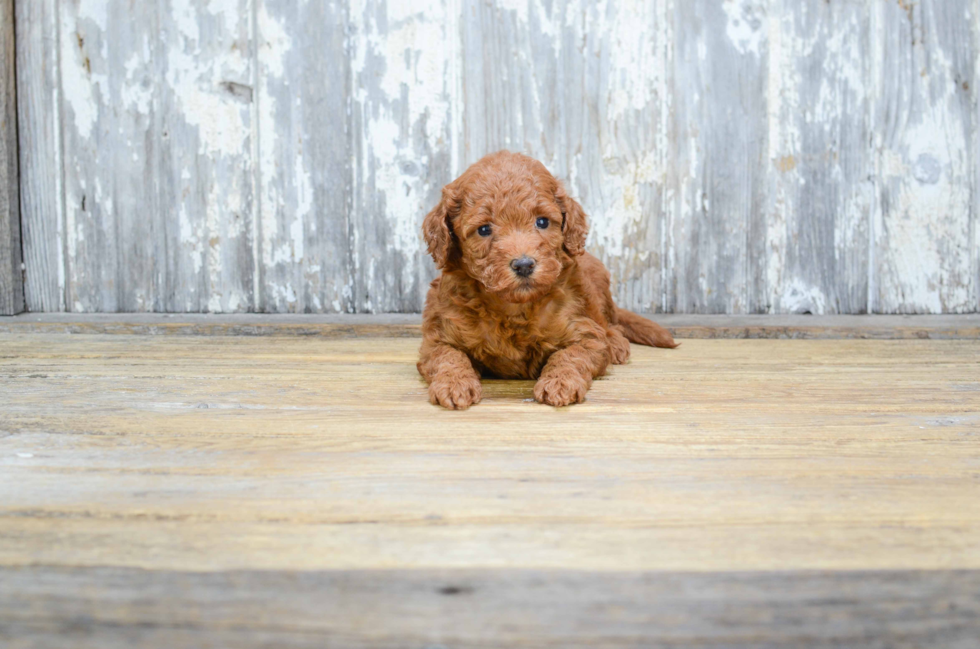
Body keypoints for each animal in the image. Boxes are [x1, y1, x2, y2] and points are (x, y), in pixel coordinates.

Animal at [418, 149, 676, 408]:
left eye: (541, 221)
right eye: (483, 229)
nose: (524, 265)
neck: (514, 308)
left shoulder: (585, 334)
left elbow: (571, 355)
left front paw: (560, 383)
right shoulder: (438, 337)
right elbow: (448, 356)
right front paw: (454, 384)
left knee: (610, 324)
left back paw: (615, 343)